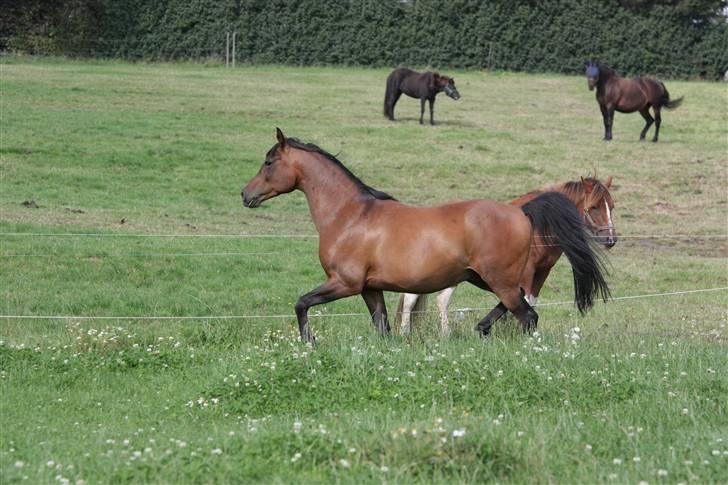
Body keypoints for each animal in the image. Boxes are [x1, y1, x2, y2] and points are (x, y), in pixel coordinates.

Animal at [398, 176, 616, 334]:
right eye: (594, 207)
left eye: (611, 206)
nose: (611, 239)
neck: (539, 225)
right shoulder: (526, 272)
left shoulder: (542, 271)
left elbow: (530, 300)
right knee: (423, 299)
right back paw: (413, 334)